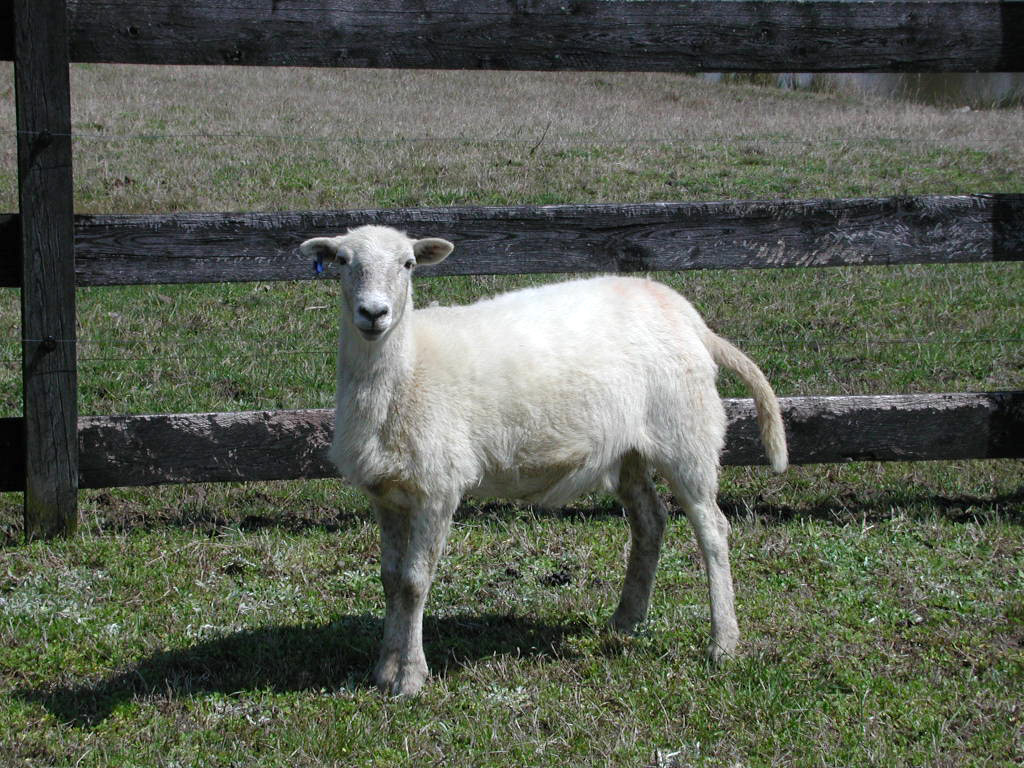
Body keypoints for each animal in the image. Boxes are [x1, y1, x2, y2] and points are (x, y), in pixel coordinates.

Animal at [300, 225, 788, 696]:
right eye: (342, 260)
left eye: (408, 264)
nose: (374, 313)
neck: (410, 367)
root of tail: (690, 319)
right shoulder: (387, 493)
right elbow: (389, 579)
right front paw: (384, 668)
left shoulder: (437, 488)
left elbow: (414, 582)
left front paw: (411, 677)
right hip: (629, 448)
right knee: (650, 520)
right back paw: (626, 620)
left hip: (686, 432)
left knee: (713, 530)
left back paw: (723, 643)